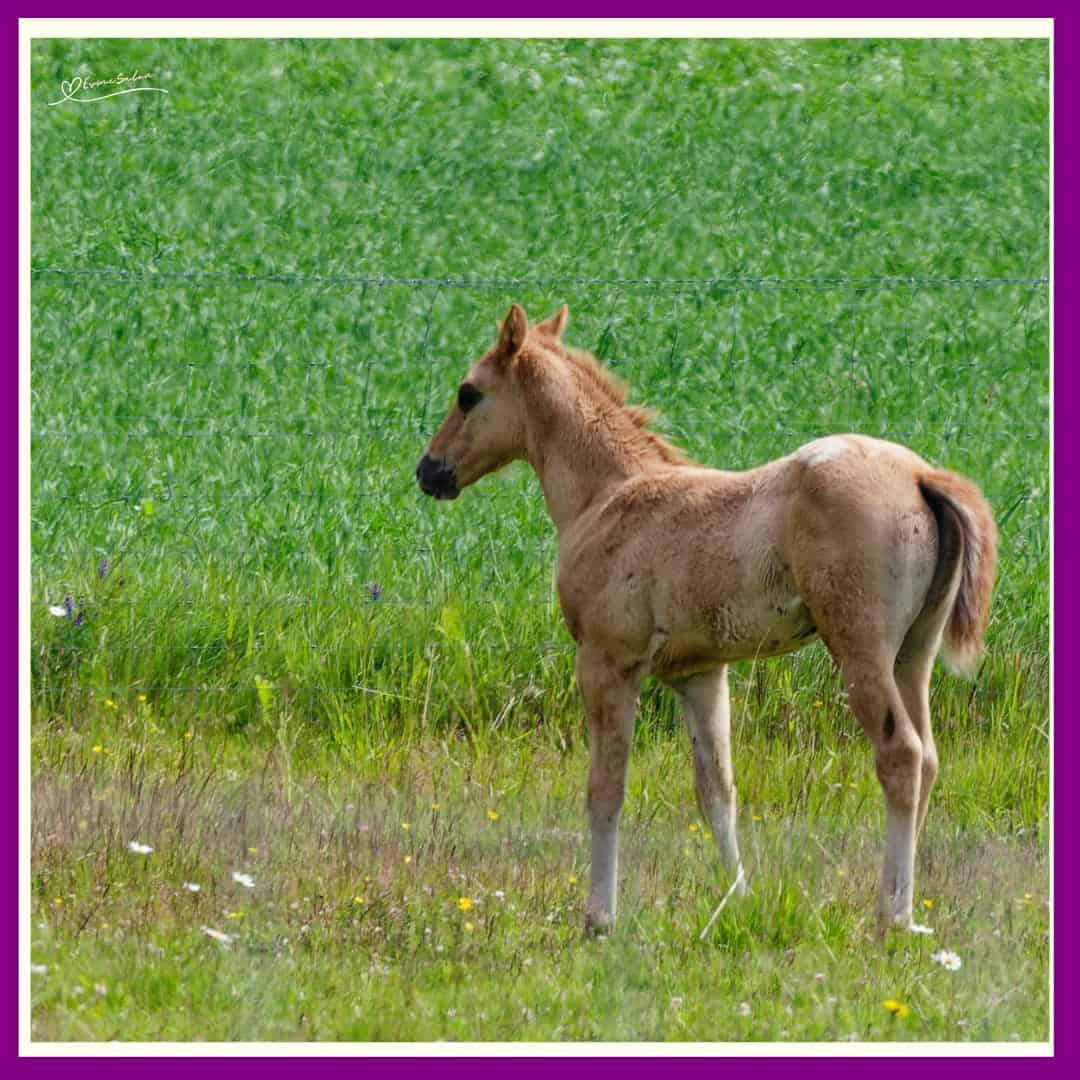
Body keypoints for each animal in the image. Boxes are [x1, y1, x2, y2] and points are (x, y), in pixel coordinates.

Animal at [416, 303, 997, 936]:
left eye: (468, 393)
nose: (429, 471)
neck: (608, 496)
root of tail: (920, 476)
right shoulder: (698, 673)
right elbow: (717, 789)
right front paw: (736, 900)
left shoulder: (606, 662)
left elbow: (606, 789)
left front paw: (600, 917)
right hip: (913, 654)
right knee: (929, 758)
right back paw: (906, 913)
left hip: (860, 648)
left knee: (901, 754)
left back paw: (892, 916)